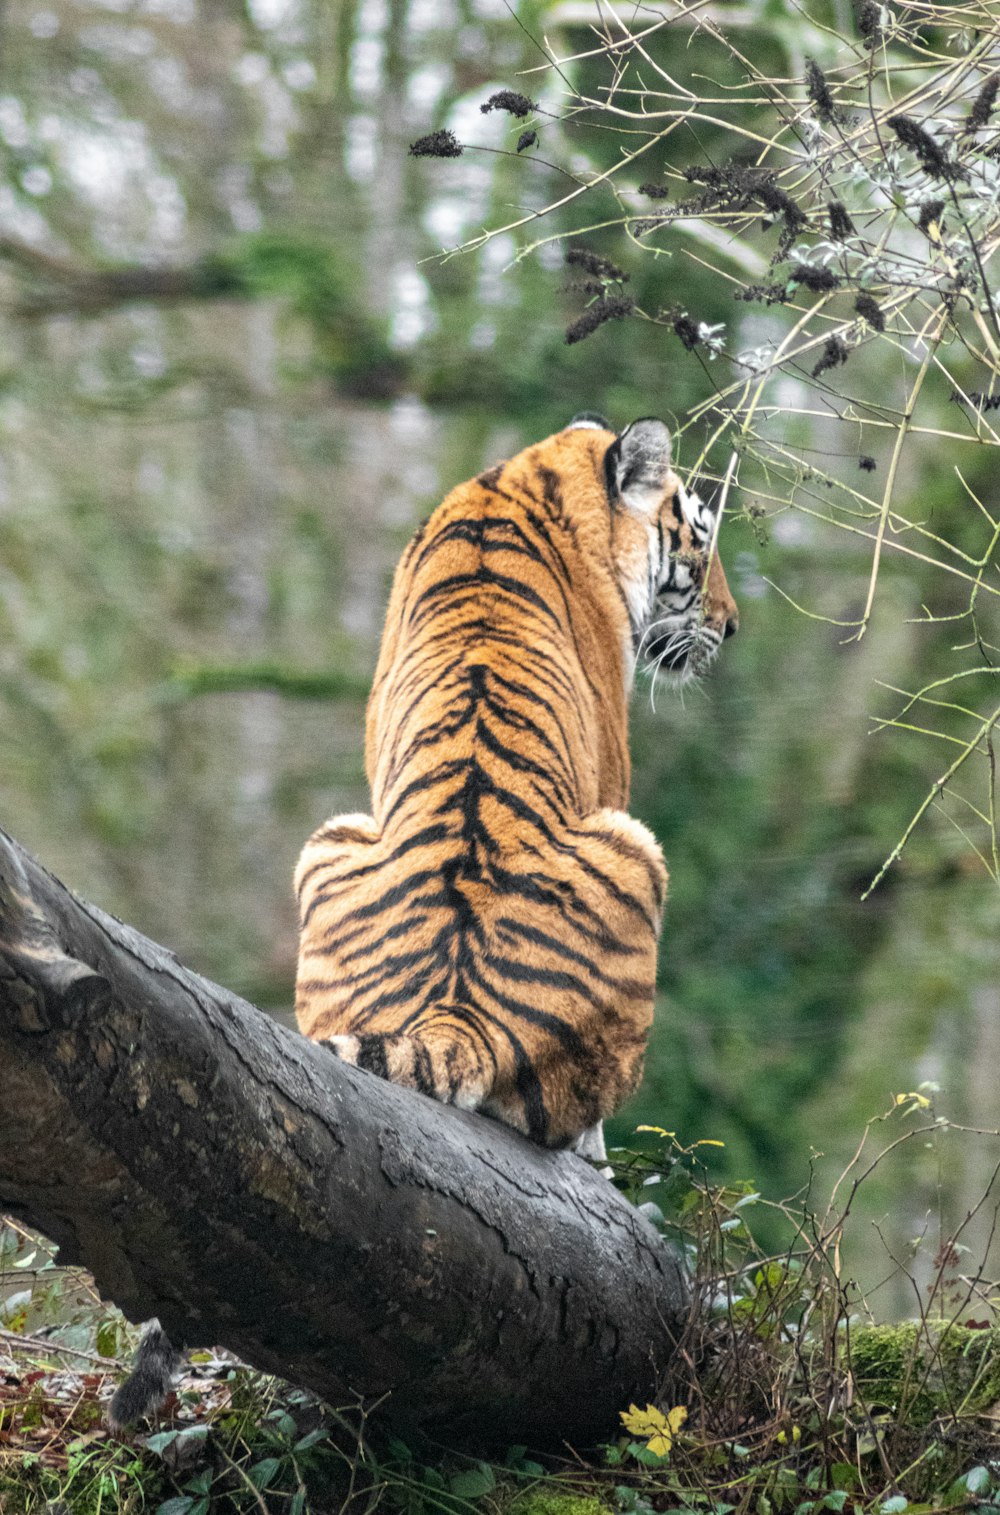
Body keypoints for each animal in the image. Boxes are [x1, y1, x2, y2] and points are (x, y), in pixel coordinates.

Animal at [290, 415, 733, 1157]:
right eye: (700, 545)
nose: (731, 625)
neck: (529, 479)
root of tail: (455, 1016)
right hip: (638, 845)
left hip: (327, 841)